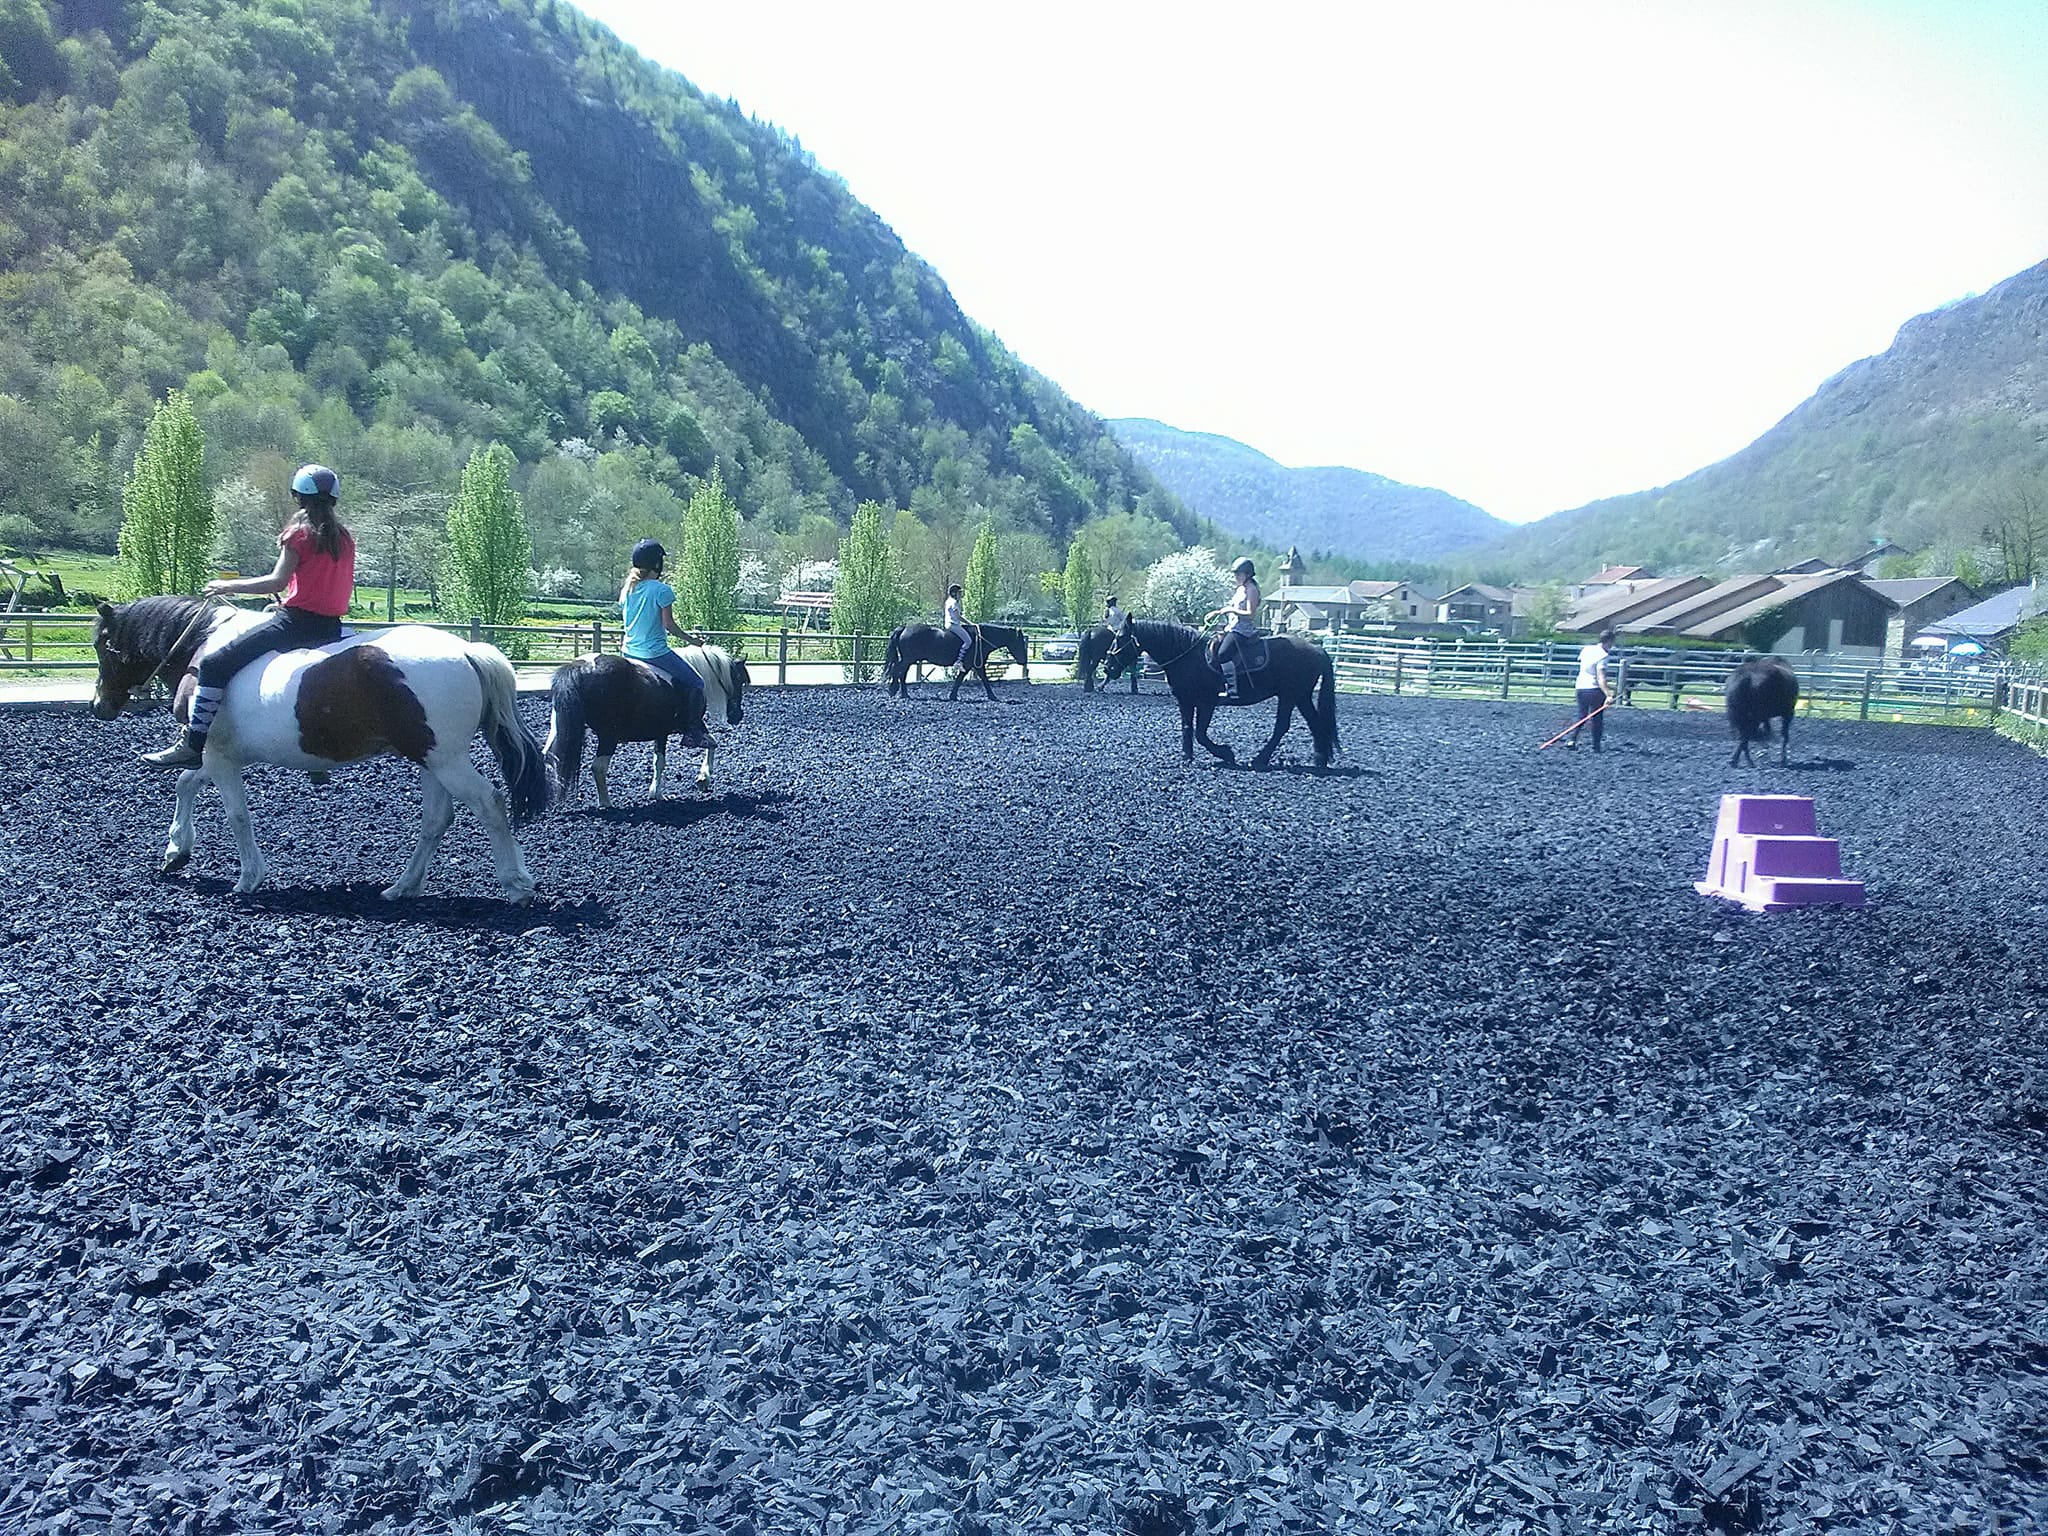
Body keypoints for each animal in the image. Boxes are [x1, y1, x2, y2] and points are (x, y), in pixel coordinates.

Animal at [91, 593, 552, 901]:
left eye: (101, 645)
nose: (100, 705)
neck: (201, 646)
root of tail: (466, 650)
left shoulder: (220, 758)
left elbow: (237, 815)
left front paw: (249, 878)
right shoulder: (219, 755)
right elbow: (185, 783)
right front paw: (176, 851)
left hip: (446, 761)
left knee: (489, 803)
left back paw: (516, 884)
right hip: (432, 760)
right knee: (437, 820)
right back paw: (404, 886)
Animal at [540, 647, 749, 811]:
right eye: (740, 680)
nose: (737, 715)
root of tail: (578, 668)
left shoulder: (661, 732)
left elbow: (659, 761)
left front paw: (656, 793)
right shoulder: (692, 726)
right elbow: (711, 744)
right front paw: (703, 779)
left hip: (560, 730)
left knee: (549, 758)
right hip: (608, 737)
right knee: (598, 767)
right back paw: (606, 803)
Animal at [1081, 618, 1335, 770]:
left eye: (1120, 638)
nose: (1109, 667)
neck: (1187, 655)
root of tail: (1317, 648)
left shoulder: (1206, 702)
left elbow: (1201, 733)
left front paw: (1226, 753)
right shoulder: (1185, 700)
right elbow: (1188, 728)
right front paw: (1187, 757)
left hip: (1291, 695)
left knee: (1283, 726)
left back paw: (1262, 759)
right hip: (1299, 696)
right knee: (1314, 724)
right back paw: (1319, 759)